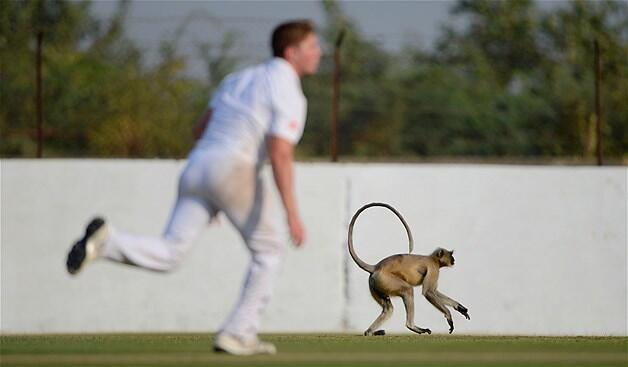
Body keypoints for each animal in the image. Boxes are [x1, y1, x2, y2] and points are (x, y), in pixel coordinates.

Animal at [348, 203, 472, 338]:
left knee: (388, 309)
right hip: (385, 279)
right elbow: (428, 292)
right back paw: (412, 326)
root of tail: (376, 266)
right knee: (408, 290)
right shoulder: (433, 268)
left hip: (375, 284)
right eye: (450, 255)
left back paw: (370, 332)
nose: (453, 259)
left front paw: (459, 307)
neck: (433, 259)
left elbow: (434, 291)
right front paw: (449, 315)